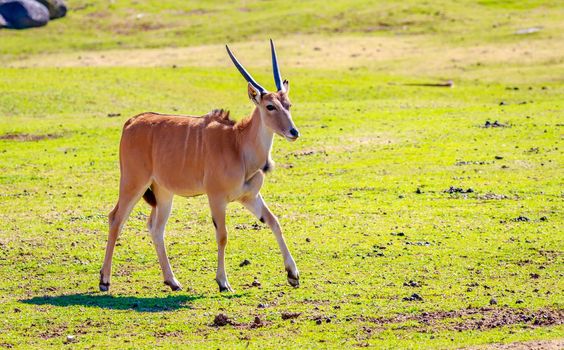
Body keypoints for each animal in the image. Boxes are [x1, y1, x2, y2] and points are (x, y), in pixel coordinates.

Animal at [98, 40, 300, 292]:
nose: (293, 132)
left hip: (163, 193)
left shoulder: (249, 197)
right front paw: (223, 282)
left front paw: (293, 274)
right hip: (133, 183)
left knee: (156, 227)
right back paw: (105, 280)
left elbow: (274, 221)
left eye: (288, 104)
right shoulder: (216, 198)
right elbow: (222, 235)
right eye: (270, 106)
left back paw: (172, 281)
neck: (237, 143)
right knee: (116, 218)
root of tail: (132, 121)